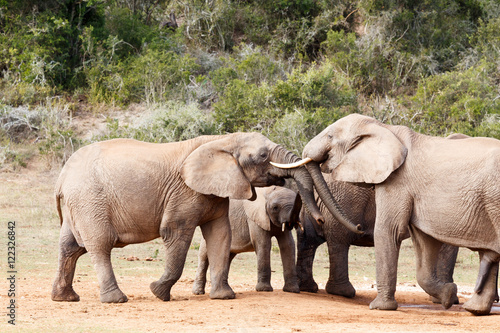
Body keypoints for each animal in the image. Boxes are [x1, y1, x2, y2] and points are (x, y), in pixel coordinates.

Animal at [51, 131, 360, 302]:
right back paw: (117, 300)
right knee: (99, 245)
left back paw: (65, 298)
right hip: (90, 200)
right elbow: (176, 232)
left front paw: (224, 296)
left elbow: (220, 235)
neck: (221, 140)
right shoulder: (183, 192)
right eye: (262, 156)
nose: (320, 220)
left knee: (69, 247)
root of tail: (62, 175)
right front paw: (158, 292)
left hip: (78, 203)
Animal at [276, 113, 498, 314]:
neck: (383, 128)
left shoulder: (402, 183)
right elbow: (394, 232)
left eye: (330, 136)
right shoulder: (397, 182)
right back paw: (339, 293)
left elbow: (407, 235)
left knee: (317, 238)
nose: (359, 227)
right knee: (331, 239)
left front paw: (447, 297)